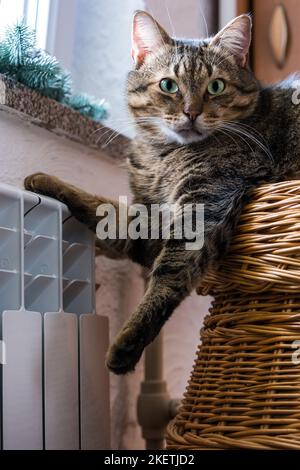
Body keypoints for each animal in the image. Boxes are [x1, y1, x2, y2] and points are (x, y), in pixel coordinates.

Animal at [24, 11, 300, 374]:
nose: (192, 112)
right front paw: (43, 181)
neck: (160, 155)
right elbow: (104, 211)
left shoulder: (204, 205)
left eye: (216, 86)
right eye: (168, 85)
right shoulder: (148, 218)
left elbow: (167, 274)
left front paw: (127, 343)